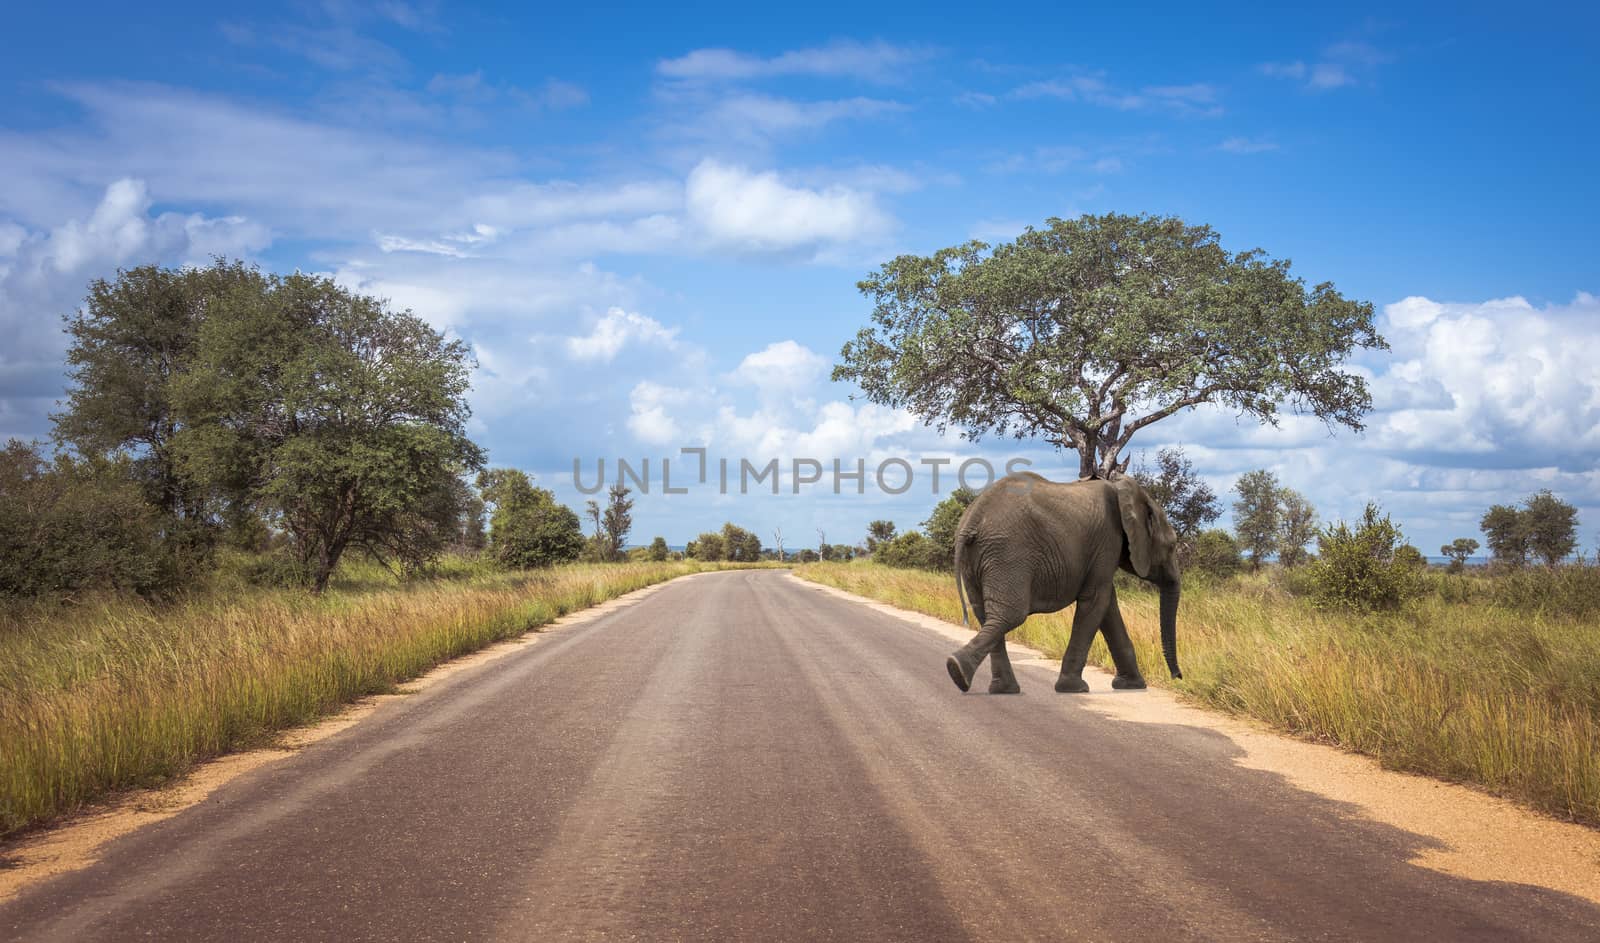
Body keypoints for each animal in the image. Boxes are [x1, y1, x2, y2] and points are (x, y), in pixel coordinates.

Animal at [940, 470, 1184, 691]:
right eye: (1172, 546)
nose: (1178, 677)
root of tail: (973, 517)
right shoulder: (1108, 541)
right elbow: (1096, 601)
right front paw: (1074, 688)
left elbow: (1107, 607)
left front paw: (1132, 685)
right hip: (1008, 553)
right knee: (1010, 615)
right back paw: (959, 671)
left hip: (979, 559)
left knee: (986, 615)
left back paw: (995, 686)